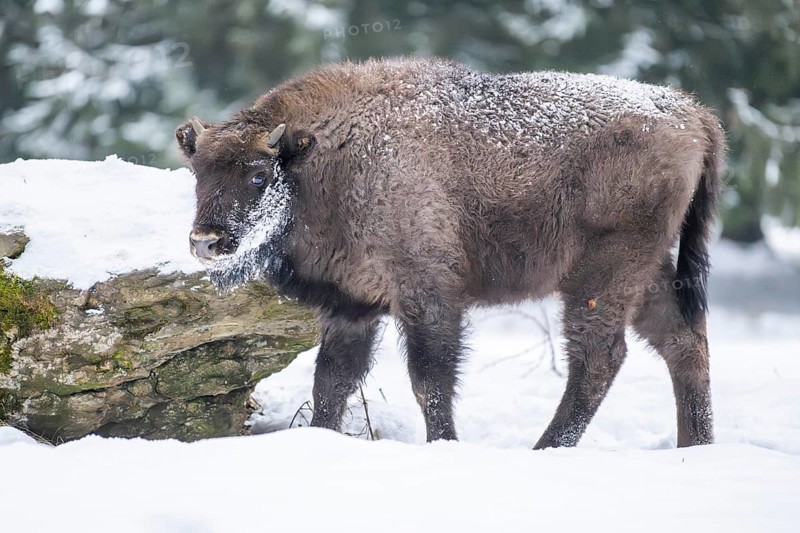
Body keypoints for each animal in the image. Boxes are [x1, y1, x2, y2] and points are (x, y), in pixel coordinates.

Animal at [176, 57, 725, 448]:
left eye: (258, 175)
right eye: (198, 171)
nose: (205, 241)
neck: (323, 156)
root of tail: (690, 110)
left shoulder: (427, 294)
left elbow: (430, 379)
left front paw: (444, 443)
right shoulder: (351, 304)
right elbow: (331, 382)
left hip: (602, 276)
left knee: (599, 358)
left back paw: (547, 449)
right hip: (649, 272)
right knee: (683, 343)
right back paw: (694, 446)